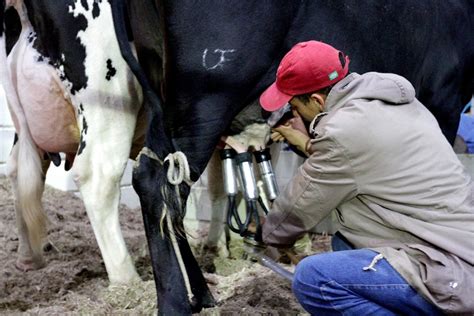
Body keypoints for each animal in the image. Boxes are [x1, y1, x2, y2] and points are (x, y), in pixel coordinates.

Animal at [0, 0, 145, 286]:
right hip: (111, 98)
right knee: (98, 180)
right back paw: (128, 280)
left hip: (25, 124)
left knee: (19, 170)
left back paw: (28, 258)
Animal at [109, 0, 472, 314]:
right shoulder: (445, 97)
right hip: (208, 90)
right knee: (162, 182)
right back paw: (178, 303)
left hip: (159, 77)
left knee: (157, 176)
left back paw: (200, 293)